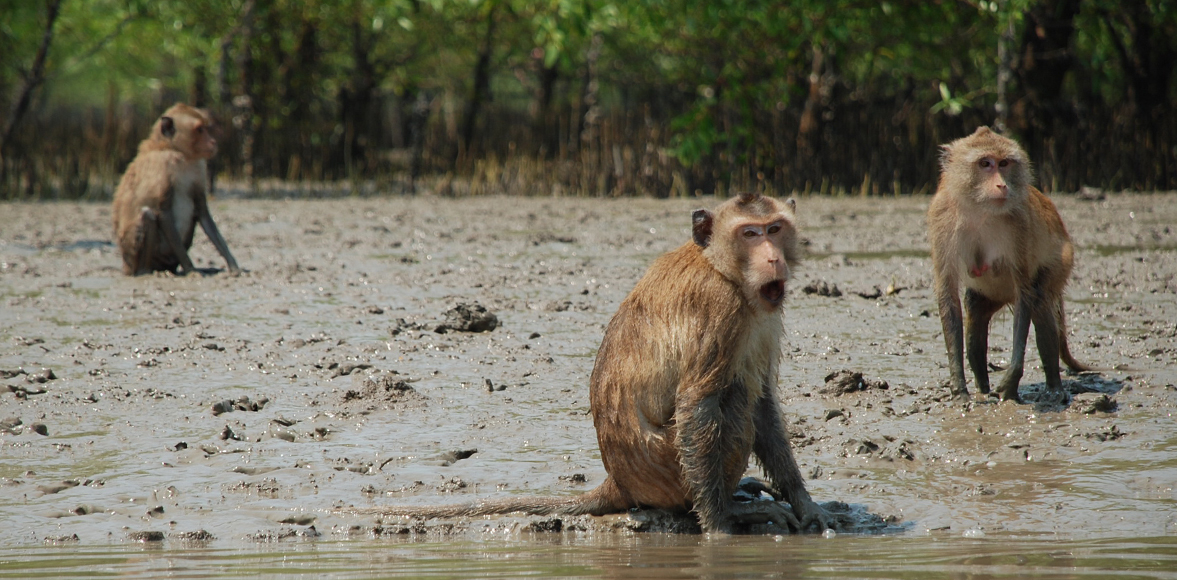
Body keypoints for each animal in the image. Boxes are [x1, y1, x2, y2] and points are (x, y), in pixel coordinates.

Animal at [112, 101, 238, 275]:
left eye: (206, 128)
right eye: (200, 129)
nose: (213, 142)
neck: (177, 151)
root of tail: (126, 266)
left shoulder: (199, 168)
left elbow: (202, 211)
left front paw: (233, 265)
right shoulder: (163, 166)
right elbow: (163, 211)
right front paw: (191, 269)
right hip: (133, 253)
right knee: (148, 215)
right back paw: (145, 270)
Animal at [353, 191, 833, 531]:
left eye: (774, 228)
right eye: (750, 234)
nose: (772, 257)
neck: (721, 268)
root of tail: (618, 480)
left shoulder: (763, 315)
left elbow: (764, 402)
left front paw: (805, 502)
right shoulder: (721, 309)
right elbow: (698, 403)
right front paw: (720, 525)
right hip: (663, 470)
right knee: (728, 407)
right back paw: (726, 505)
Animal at [927, 126, 1092, 400]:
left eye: (1003, 163)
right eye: (985, 164)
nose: (1001, 185)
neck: (979, 210)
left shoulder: (1019, 223)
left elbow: (1024, 290)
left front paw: (1012, 379)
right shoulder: (941, 217)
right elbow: (948, 295)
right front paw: (959, 386)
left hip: (1063, 260)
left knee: (1039, 299)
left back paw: (1053, 387)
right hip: (992, 293)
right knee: (975, 310)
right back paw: (983, 387)